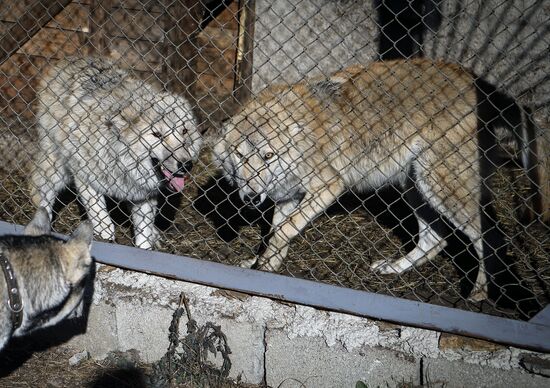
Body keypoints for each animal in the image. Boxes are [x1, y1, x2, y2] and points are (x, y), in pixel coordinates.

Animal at [30, 57, 203, 249]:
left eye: (184, 131)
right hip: (57, 168)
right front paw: (105, 232)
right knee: (42, 194)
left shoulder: (143, 195)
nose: (186, 165)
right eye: (157, 134)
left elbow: (144, 234)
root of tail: (71, 60)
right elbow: (99, 213)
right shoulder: (84, 175)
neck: (122, 161)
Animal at [216, 57, 548, 316]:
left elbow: (283, 230)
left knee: (490, 238)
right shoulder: (288, 196)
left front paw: (263, 266)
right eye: (240, 156)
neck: (303, 133)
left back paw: (479, 293)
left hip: (442, 189)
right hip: (416, 188)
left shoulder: (328, 185)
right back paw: (394, 268)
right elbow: (275, 233)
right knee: (436, 240)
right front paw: (263, 267)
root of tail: (479, 84)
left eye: (268, 155)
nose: (250, 198)